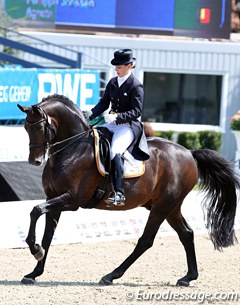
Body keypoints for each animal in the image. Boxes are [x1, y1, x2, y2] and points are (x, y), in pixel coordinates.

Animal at [17, 94, 240, 286]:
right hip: (169, 206)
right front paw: (34, 271)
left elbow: (35, 210)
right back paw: (188, 277)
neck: (73, 148)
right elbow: (47, 234)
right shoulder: (53, 198)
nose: (35, 161)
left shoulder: (71, 200)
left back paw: (111, 275)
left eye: (41, 127)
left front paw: (35, 249)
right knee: (186, 234)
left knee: (146, 240)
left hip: (162, 207)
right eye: (26, 128)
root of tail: (188, 152)